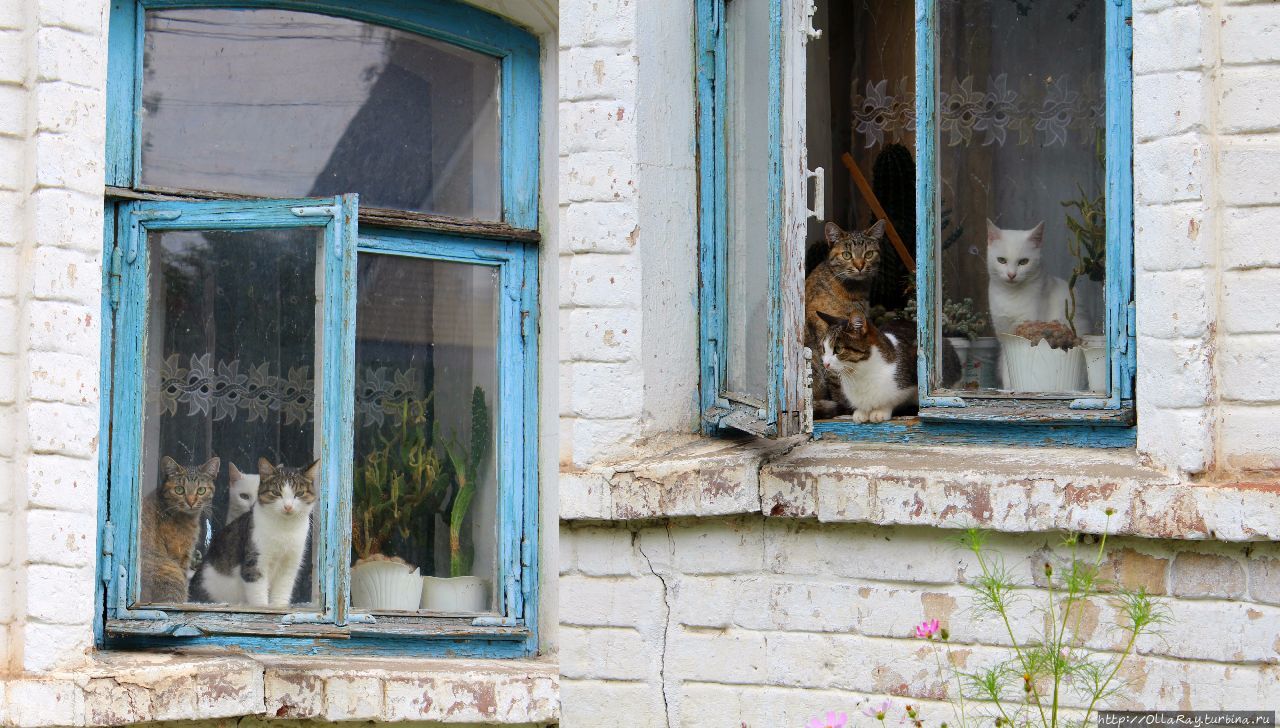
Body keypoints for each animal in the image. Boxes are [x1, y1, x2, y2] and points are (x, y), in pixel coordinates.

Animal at [189, 455, 320, 606]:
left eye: (299, 493)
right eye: (276, 493)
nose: (288, 507)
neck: (284, 529)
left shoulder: (290, 564)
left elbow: (283, 589)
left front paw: (278, 606)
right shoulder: (255, 559)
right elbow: (257, 590)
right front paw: (262, 607)